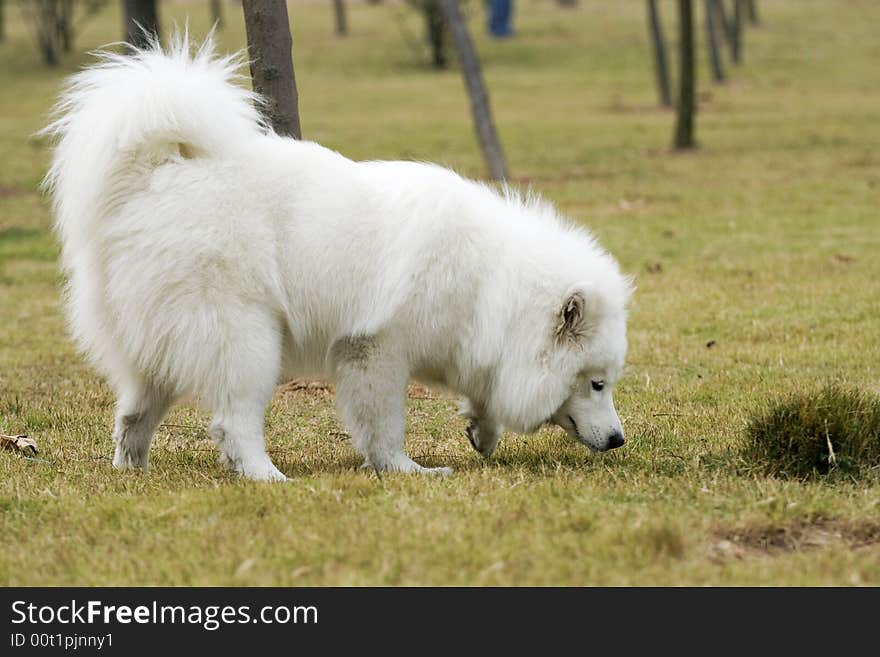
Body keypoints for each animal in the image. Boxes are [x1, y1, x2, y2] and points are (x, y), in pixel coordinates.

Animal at [43, 36, 632, 480]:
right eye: (597, 383)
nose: (619, 440)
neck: (489, 277)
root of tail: (153, 177)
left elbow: (481, 391)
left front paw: (482, 433)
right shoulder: (375, 351)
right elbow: (384, 426)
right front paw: (406, 470)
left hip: (158, 349)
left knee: (132, 415)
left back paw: (131, 472)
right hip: (247, 339)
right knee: (233, 421)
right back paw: (266, 476)